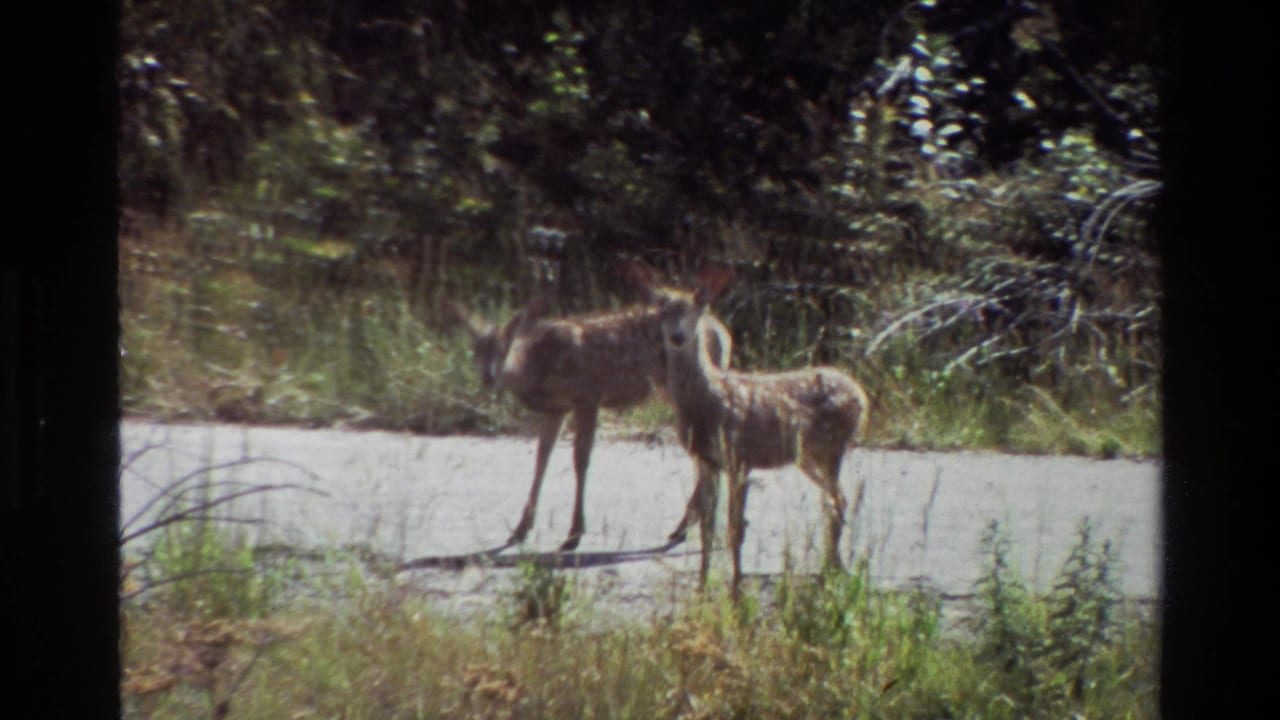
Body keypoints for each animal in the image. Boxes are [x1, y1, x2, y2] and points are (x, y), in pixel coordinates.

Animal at [444, 270, 733, 552]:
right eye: (475, 350)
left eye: (506, 347)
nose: (489, 377)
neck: (540, 364)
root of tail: (725, 334)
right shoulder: (556, 410)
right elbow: (541, 458)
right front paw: (520, 529)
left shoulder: (587, 397)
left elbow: (580, 460)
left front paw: (574, 533)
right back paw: (686, 525)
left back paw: (690, 525)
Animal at [634, 264, 870, 596]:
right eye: (661, 308)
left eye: (698, 306)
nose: (677, 336)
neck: (708, 399)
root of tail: (861, 396)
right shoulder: (707, 460)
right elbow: (709, 526)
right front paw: (703, 584)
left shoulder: (740, 458)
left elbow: (735, 527)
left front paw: (736, 587)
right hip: (806, 456)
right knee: (836, 500)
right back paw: (830, 567)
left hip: (831, 446)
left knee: (837, 500)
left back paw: (832, 569)